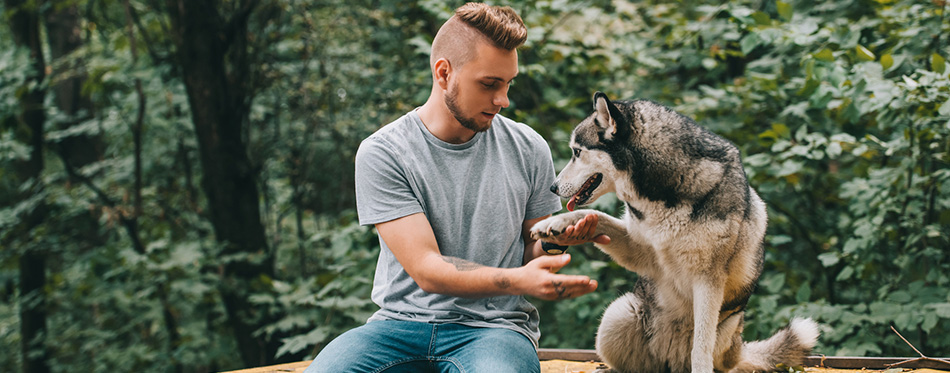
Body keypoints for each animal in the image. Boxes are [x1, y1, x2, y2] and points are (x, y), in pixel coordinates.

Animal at [532, 91, 820, 370]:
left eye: (577, 152)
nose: (553, 188)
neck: (665, 187)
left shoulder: (707, 279)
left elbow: (700, 350)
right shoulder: (642, 251)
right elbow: (593, 216)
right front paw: (555, 224)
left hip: (721, 336)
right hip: (616, 315)